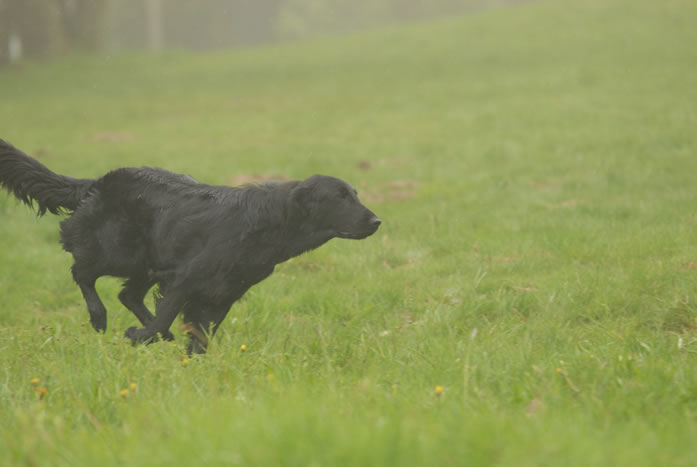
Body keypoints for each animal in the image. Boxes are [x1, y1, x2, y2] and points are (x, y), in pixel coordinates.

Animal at [0, 139, 381, 354]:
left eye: (355, 194)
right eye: (340, 198)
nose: (376, 221)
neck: (267, 225)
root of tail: (98, 182)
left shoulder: (222, 294)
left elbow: (197, 335)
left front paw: (184, 356)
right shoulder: (187, 278)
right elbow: (165, 316)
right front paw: (140, 336)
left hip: (147, 261)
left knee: (127, 293)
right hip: (119, 251)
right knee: (83, 272)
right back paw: (99, 317)